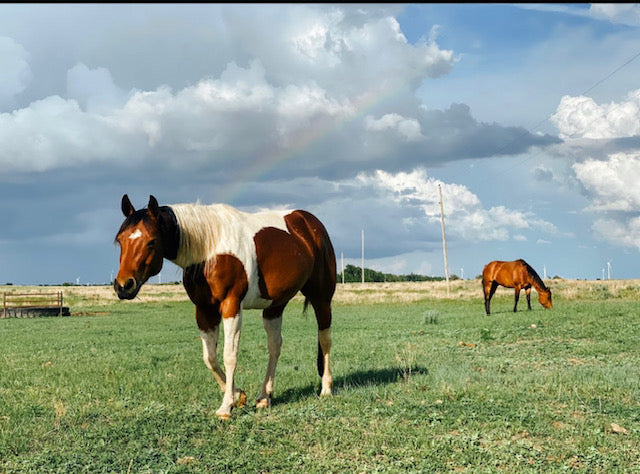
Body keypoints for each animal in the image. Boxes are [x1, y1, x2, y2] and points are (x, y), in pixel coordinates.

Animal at [113, 195, 336, 419]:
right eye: (120, 240)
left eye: (151, 241)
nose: (124, 286)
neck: (209, 251)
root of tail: (309, 223)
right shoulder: (204, 311)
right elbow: (209, 357)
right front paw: (238, 396)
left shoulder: (231, 306)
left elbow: (230, 356)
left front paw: (226, 406)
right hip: (274, 307)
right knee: (275, 346)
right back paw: (264, 397)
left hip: (322, 299)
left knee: (324, 339)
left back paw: (326, 389)